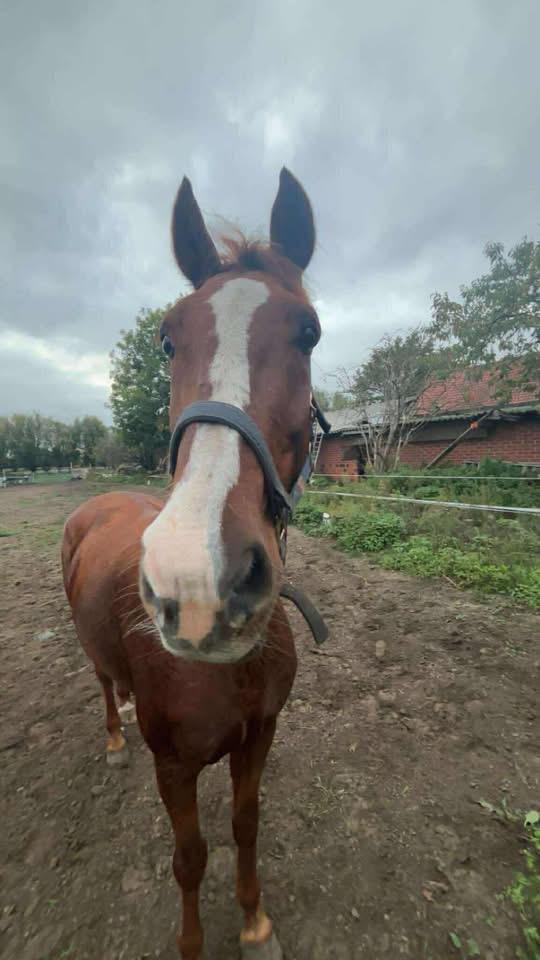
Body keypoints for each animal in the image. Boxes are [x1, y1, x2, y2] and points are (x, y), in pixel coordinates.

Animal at [62, 168, 326, 960]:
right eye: (166, 339)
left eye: (308, 332)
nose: (200, 579)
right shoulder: (173, 765)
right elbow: (189, 856)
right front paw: (193, 941)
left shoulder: (259, 735)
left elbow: (244, 826)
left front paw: (256, 923)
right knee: (101, 680)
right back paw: (112, 737)